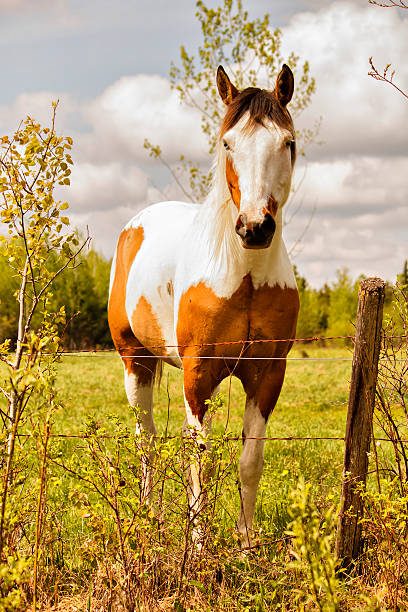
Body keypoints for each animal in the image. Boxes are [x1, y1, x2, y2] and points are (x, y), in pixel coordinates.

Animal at [107, 65, 300, 544]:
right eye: (228, 143)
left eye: (287, 142)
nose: (254, 227)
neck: (245, 275)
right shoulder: (197, 373)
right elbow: (200, 458)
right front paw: (196, 541)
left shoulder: (268, 375)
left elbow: (249, 462)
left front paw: (245, 541)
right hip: (135, 361)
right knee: (147, 438)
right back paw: (149, 513)